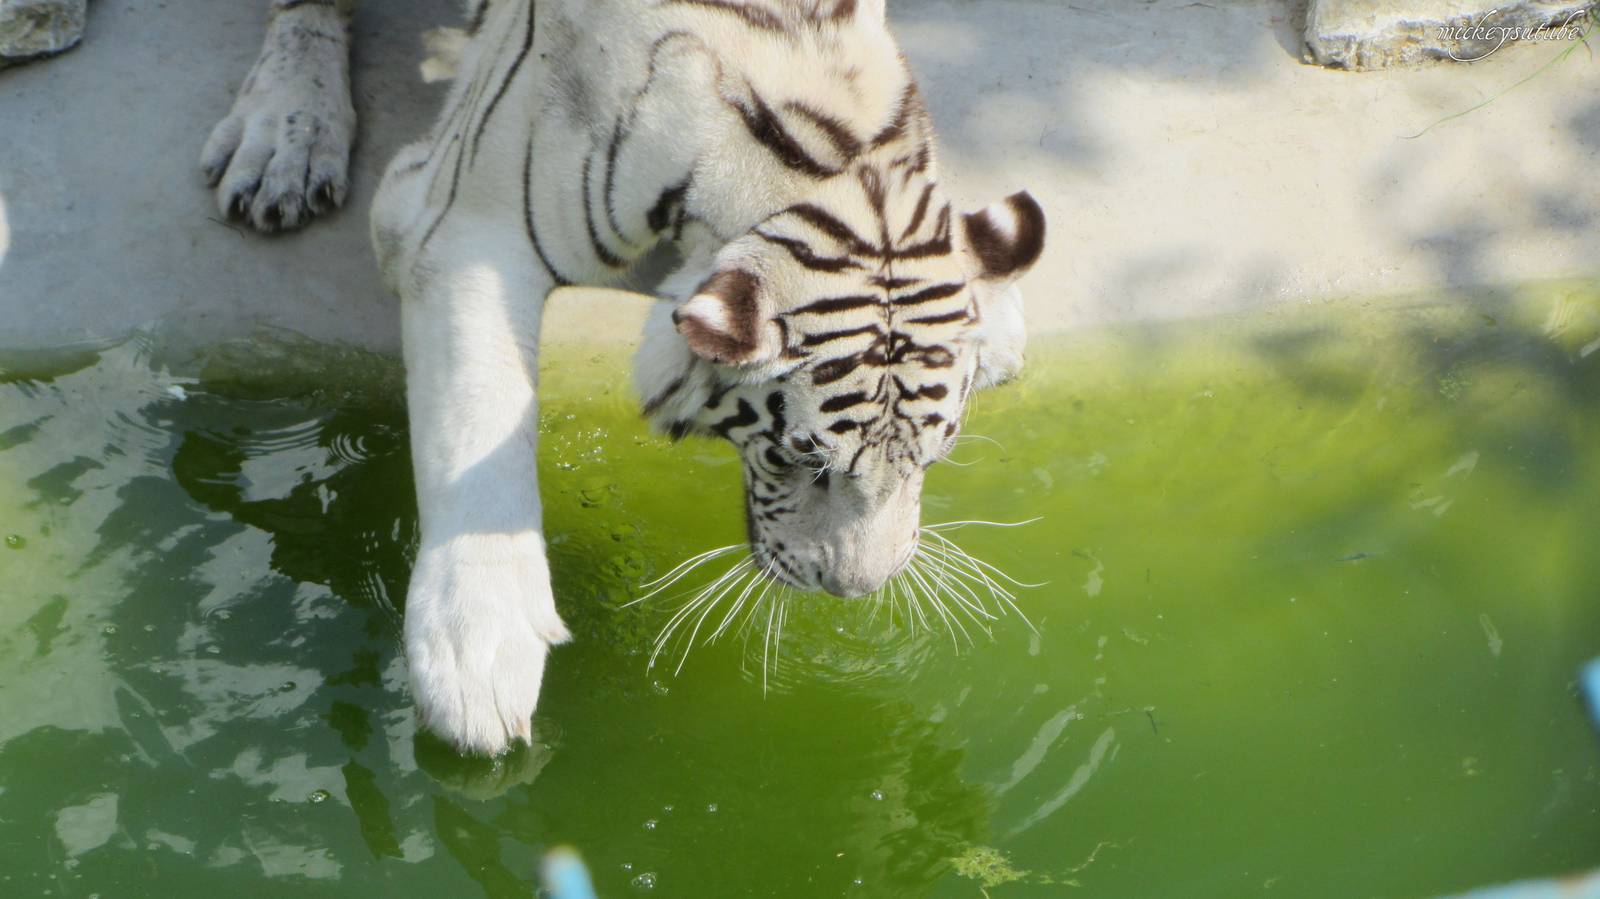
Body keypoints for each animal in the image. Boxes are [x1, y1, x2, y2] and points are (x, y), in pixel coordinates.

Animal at [201, 0, 1045, 755]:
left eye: (933, 459)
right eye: (800, 459)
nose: (855, 589)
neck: (827, 159)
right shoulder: (463, 223)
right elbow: (476, 414)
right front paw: (477, 654)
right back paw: (284, 140)